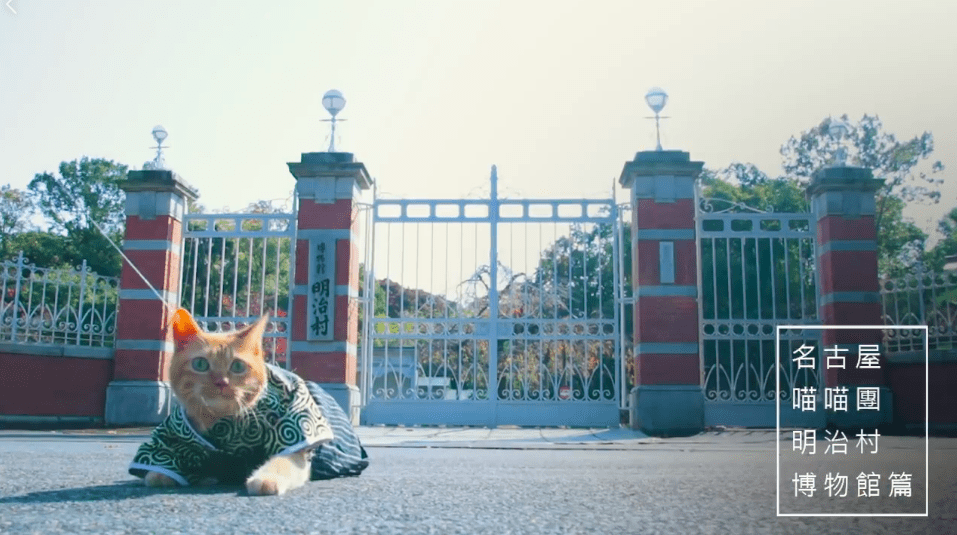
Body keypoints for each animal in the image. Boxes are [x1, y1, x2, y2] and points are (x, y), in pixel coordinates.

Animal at [133, 310, 330, 498]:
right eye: (200, 364)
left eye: (237, 366)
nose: (222, 382)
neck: (220, 421)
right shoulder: (171, 435)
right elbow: (161, 461)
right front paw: (160, 475)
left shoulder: (294, 437)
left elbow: (281, 462)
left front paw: (265, 479)